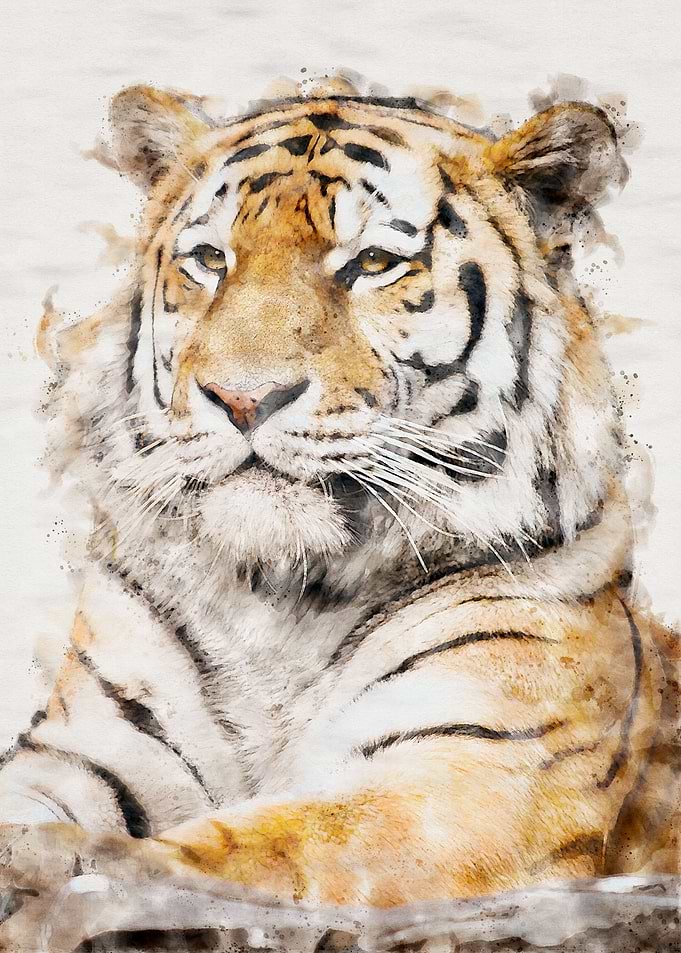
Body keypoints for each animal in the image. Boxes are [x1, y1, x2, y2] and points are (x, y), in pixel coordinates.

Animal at [0, 76, 678, 952]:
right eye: (210, 260)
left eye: (373, 265)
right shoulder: (85, 748)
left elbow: (253, 846)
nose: (242, 398)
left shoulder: (469, 779)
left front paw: (65, 880)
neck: (279, 598)